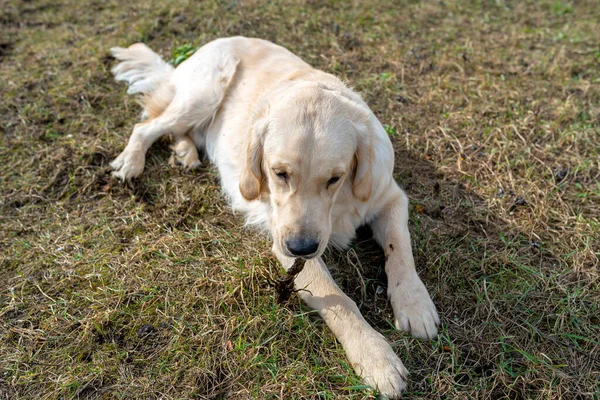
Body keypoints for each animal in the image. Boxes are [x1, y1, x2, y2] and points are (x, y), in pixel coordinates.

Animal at [110, 36, 438, 396]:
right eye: (279, 173)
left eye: (335, 178)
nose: (302, 247)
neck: (338, 204)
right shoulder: (286, 245)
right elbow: (339, 299)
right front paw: (376, 356)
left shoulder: (390, 197)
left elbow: (400, 250)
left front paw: (415, 304)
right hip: (202, 95)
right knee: (147, 127)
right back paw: (132, 160)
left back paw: (185, 152)